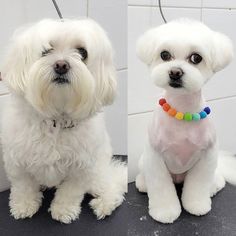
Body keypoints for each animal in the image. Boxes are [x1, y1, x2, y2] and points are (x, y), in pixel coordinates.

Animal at [0, 18, 127, 223]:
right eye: (46, 50)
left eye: (82, 52)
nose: (61, 65)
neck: (55, 119)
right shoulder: (17, 160)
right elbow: (23, 186)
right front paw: (24, 206)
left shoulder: (81, 167)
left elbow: (70, 192)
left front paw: (63, 210)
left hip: (97, 174)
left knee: (114, 184)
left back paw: (104, 204)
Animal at [136, 18, 236, 223]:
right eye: (165, 55)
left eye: (196, 58)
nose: (175, 72)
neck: (182, 111)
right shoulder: (155, 157)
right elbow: (160, 187)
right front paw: (165, 212)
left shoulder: (207, 156)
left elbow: (198, 185)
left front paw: (197, 206)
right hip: (144, 160)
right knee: (145, 176)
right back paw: (143, 183)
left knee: (214, 178)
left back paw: (214, 186)